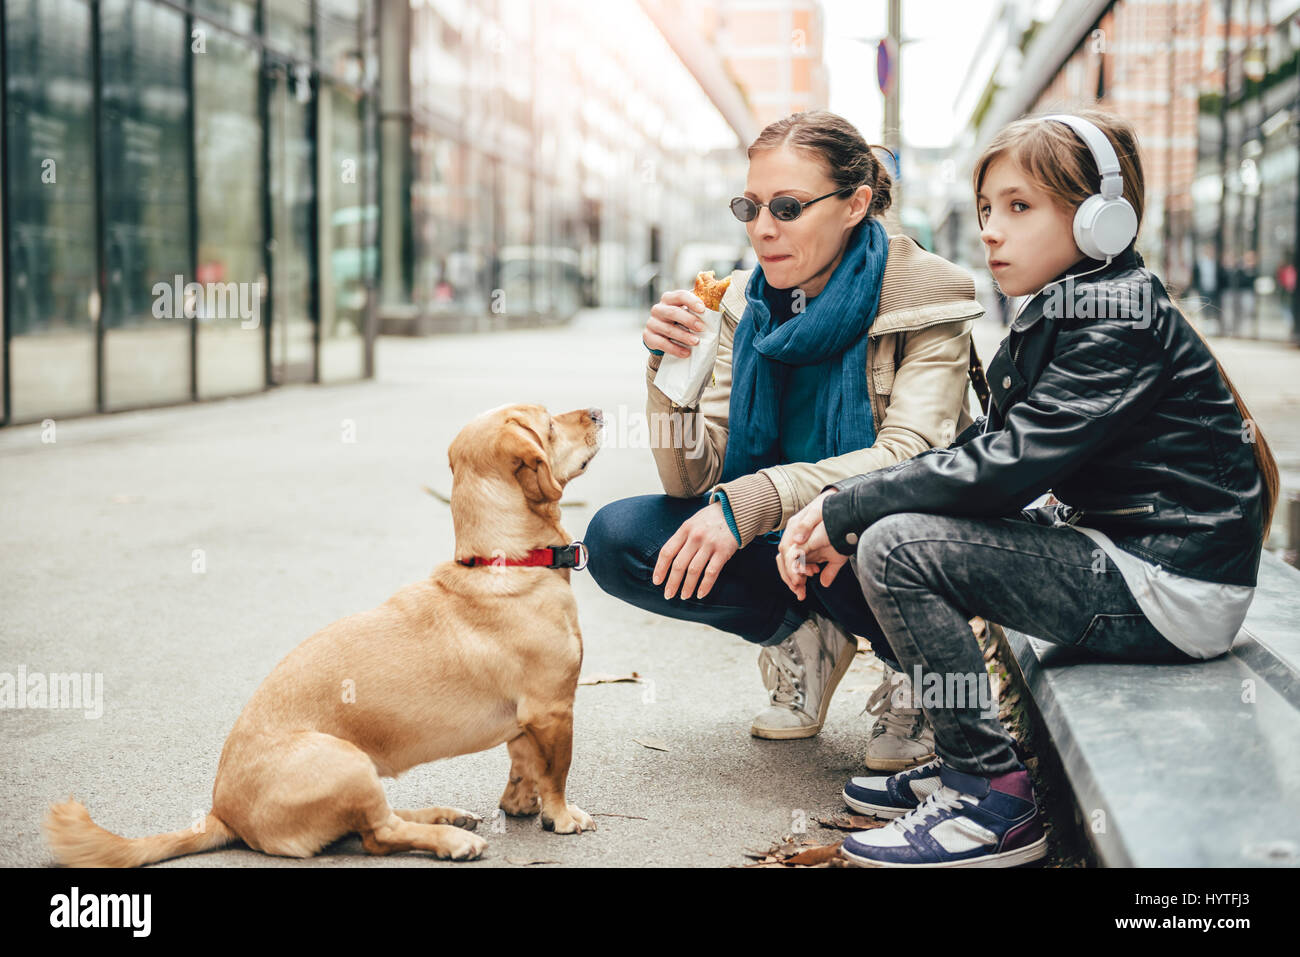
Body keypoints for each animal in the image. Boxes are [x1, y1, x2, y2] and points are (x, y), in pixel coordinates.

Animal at [41, 403, 603, 868]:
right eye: (549, 423)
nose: (598, 412)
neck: (503, 562)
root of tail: (223, 813)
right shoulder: (553, 709)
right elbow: (557, 771)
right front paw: (562, 816)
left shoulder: (529, 720)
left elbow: (523, 765)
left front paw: (523, 805)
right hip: (345, 761)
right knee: (378, 835)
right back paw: (449, 839)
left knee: (378, 823)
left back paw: (441, 816)